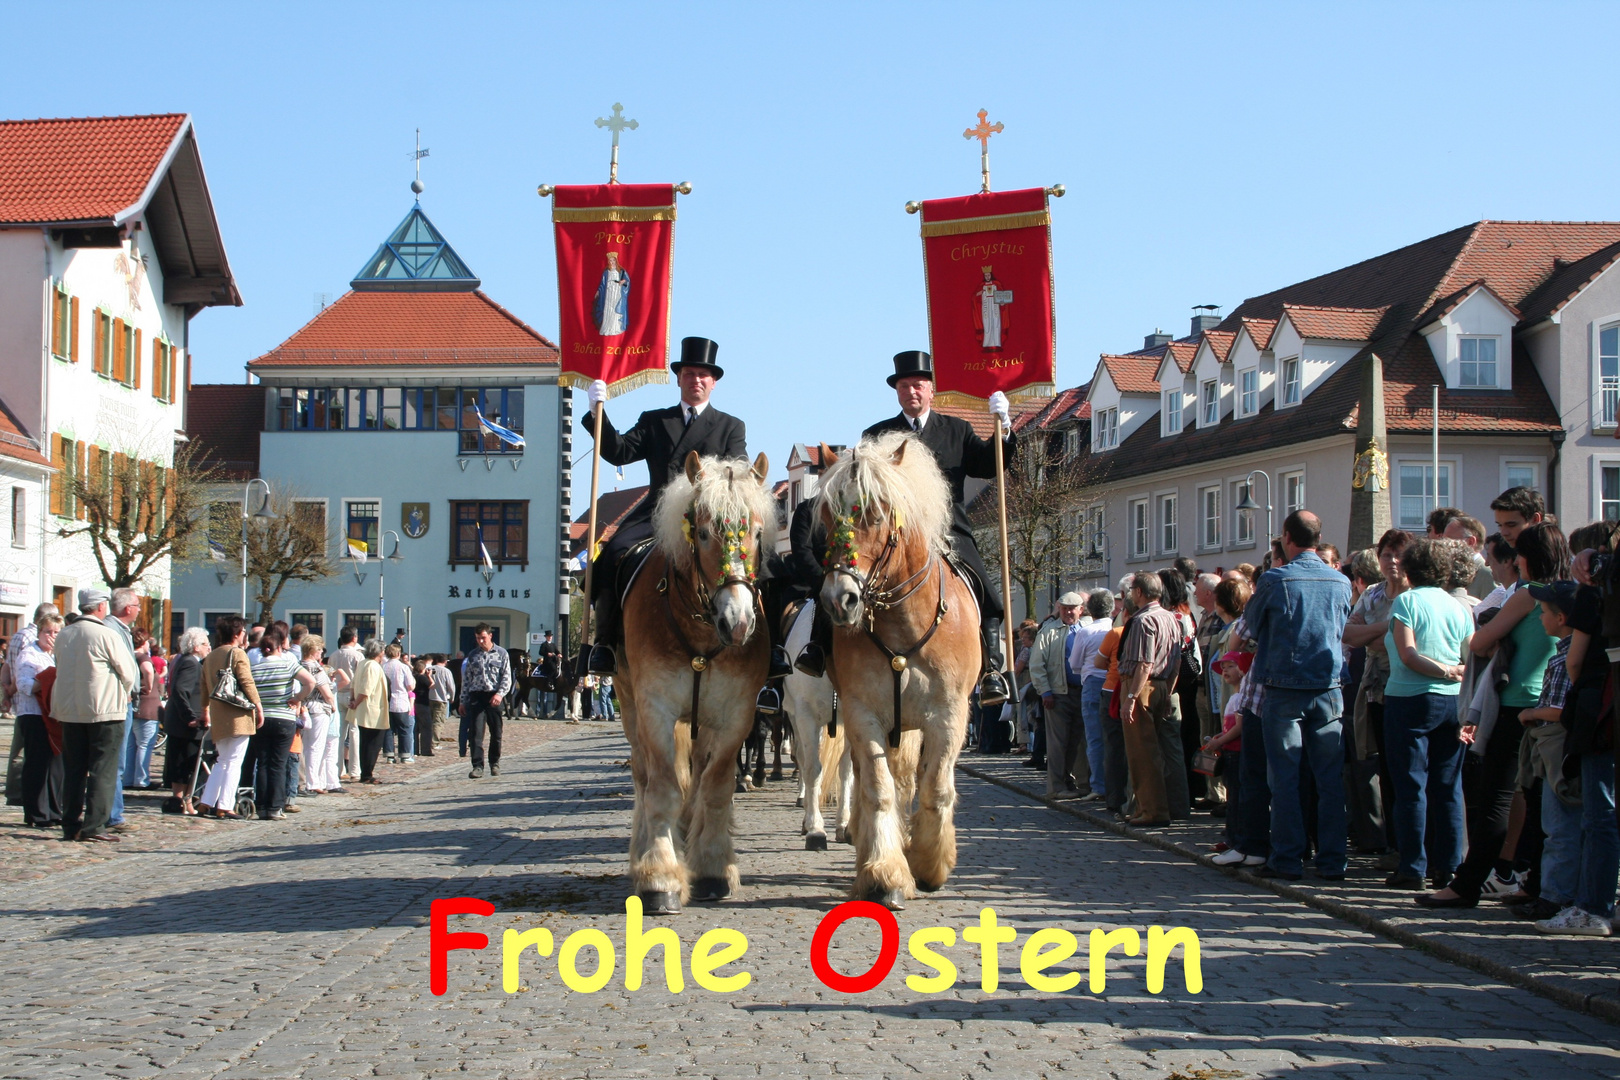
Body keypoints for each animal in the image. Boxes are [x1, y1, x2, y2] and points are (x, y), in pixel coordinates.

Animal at [615, 453, 774, 919]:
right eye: (703, 533)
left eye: (758, 532)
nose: (738, 623)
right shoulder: (655, 707)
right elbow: (663, 787)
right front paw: (659, 877)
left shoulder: (737, 714)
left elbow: (716, 786)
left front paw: (713, 868)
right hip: (629, 702)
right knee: (643, 775)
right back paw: (644, 849)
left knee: (697, 775)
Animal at [810, 430, 972, 913]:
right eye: (827, 516)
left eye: (875, 513)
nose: (838, 600)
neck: (904, 624)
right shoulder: (864, 716)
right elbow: (879, 789)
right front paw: (885, 873)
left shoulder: (949, 717)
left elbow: (936, 787)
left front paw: (929, 863)